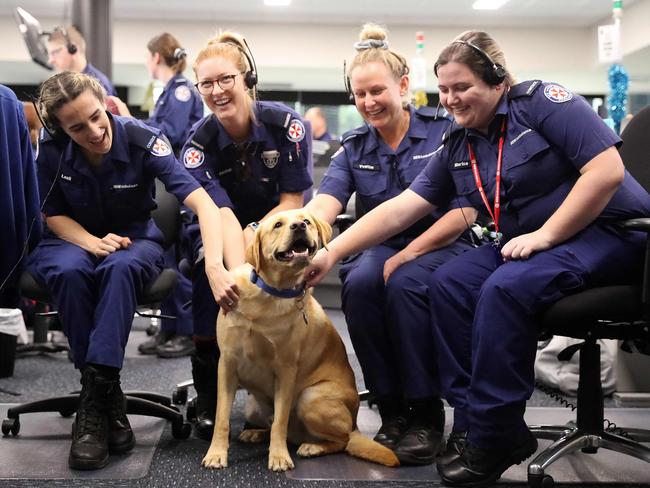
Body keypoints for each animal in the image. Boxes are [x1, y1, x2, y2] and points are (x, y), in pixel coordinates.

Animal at [202, 208, 398, 470]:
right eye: (277, 225)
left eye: (306, 221)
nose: (299, 226)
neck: (269, 294)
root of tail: (356, 423)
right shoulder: (227, 364)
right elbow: (222, 417)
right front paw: (216, 453)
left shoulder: (286, 370)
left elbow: (280, 421)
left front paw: (278, 457)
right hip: (253, 407)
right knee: (281, 427)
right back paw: (256, 433)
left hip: (310, 397)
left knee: (341, 440)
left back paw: (312, 447)